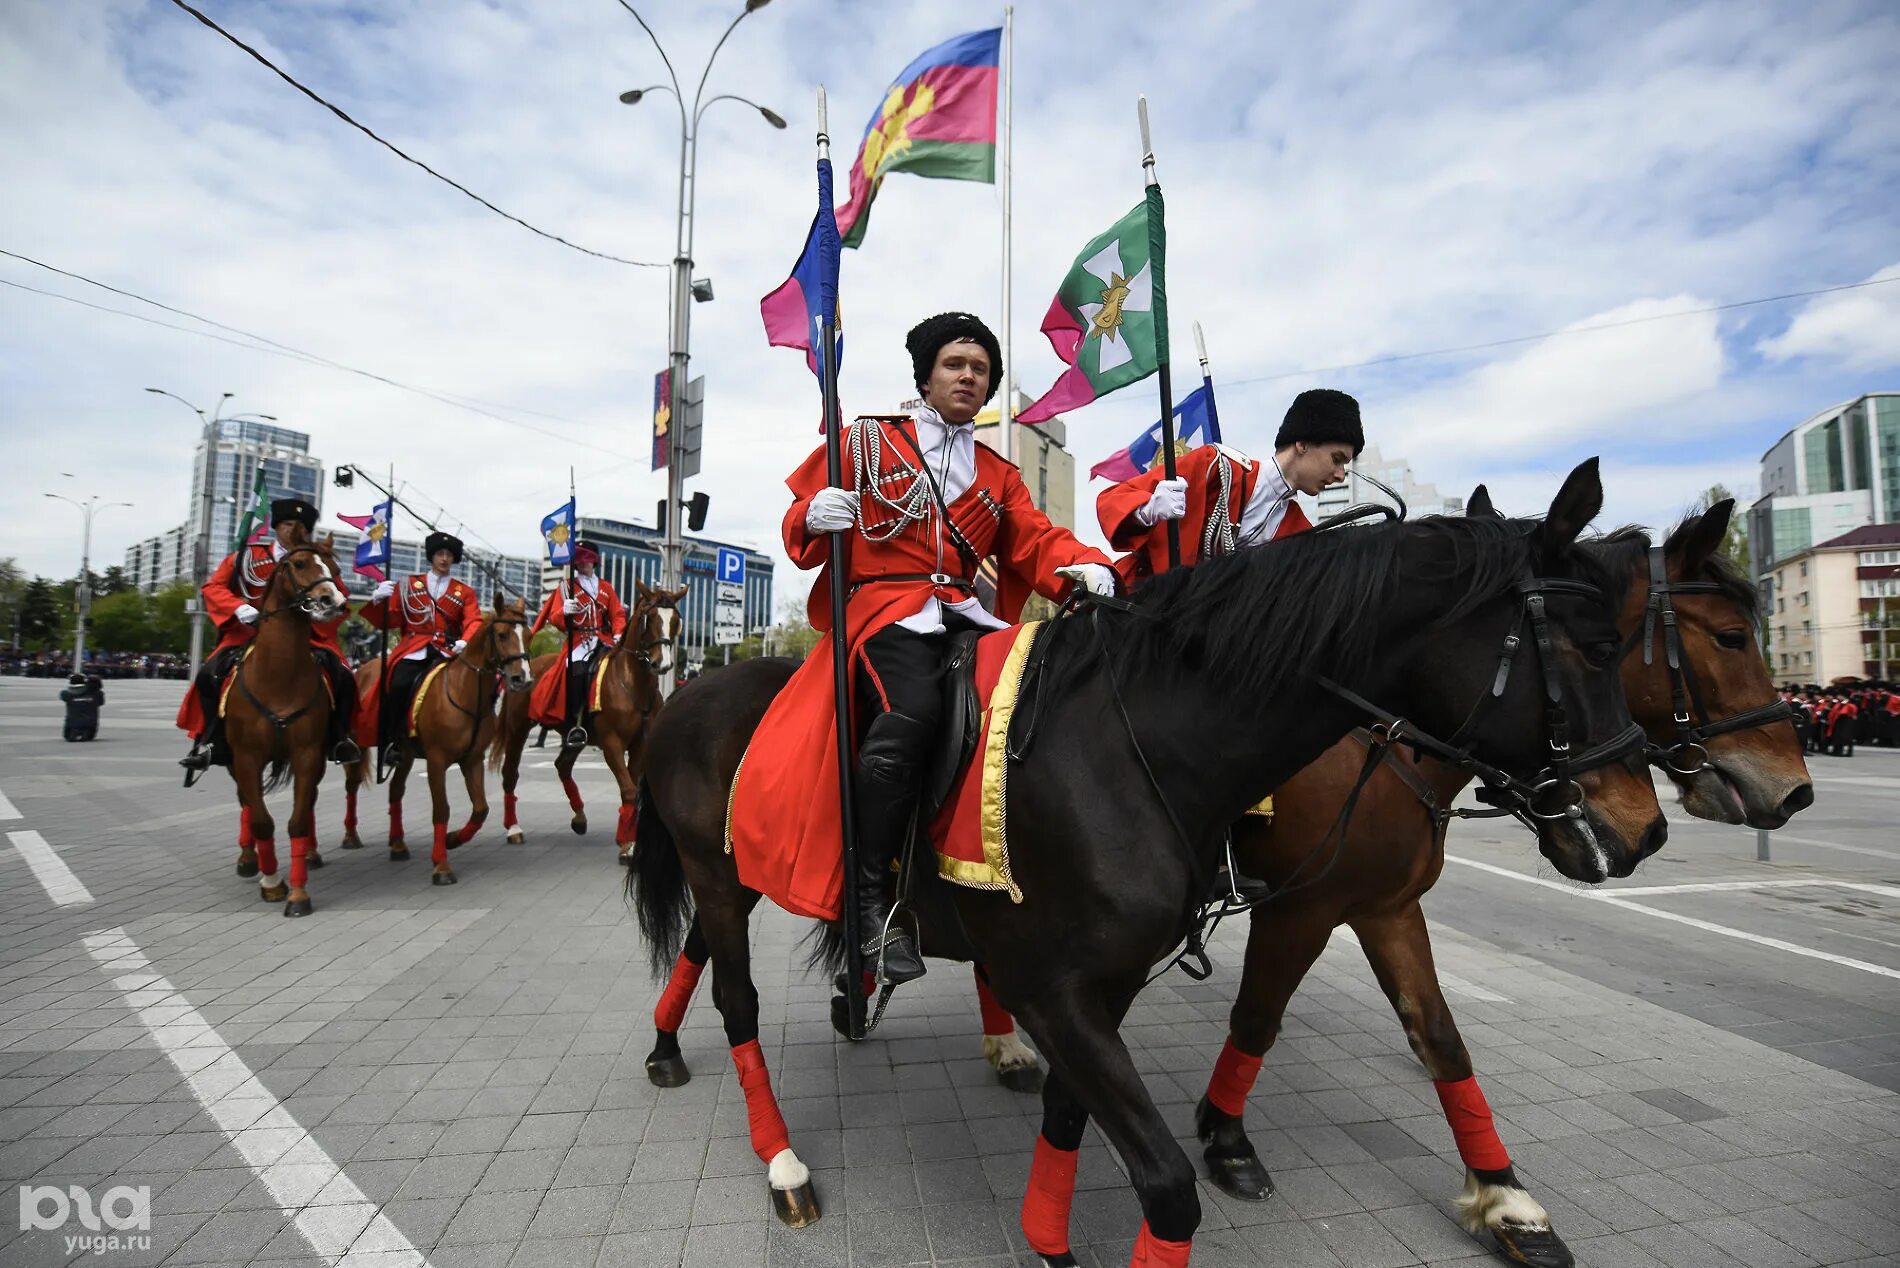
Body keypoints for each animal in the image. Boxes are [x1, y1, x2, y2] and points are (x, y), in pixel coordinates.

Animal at [226, 532, 353, 916]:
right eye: (298, 563)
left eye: (336, 569)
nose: (332, 601)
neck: (279, 675)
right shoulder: (246, 757)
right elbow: (260, 820)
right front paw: (271, 882)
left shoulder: (307, 754)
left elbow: (297, 819)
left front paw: (297, 893)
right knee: (245, 802)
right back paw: (248, 859)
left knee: (307, 802)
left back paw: (310, 854)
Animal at [340, 596, 532, 882]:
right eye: (502, 634)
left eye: (528, 636)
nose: (523, 679)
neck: (464, 693)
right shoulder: (437, 760)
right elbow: (442, 808)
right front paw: (441, 865)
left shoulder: (472, 759)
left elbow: (481, 809)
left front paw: (452, 839)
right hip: (358, 744)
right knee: (352, 785)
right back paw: (350, 837)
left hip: (406, 754)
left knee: (395, 789)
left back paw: (398, 844)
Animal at [494, 581, 687, 859]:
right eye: (649, 618)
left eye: (675, 621)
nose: (662, 663)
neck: (632, 684)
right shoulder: (612, 744)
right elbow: (628, 790)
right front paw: (627, 844)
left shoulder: (639, 744)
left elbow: (631, 789)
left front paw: (627, 838)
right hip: (517, 728)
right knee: (510, 773)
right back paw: (513, 829)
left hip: (573, 735)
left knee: (563, 765)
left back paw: (579, 818)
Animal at [634, 463, 1664, 1262]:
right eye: (1600, 646)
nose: (1644, 828)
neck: (1136, 744)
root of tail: (691, 692)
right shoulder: (1071, 981)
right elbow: (1171, 1174)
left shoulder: (1123, 978)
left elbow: (1073, 1115)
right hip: (722, 878)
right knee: (737, 1000)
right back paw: (783, 1160)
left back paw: (702, 1037)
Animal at [1185, 501, 1808, 1262]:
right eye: (1729, 637)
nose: (1795, 789)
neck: (1388, 748)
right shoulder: (1299, 910)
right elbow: (1257, 1018)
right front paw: (1227, 1139)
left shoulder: (1387, 909)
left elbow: (1441, 1038)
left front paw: (1507, 1200)